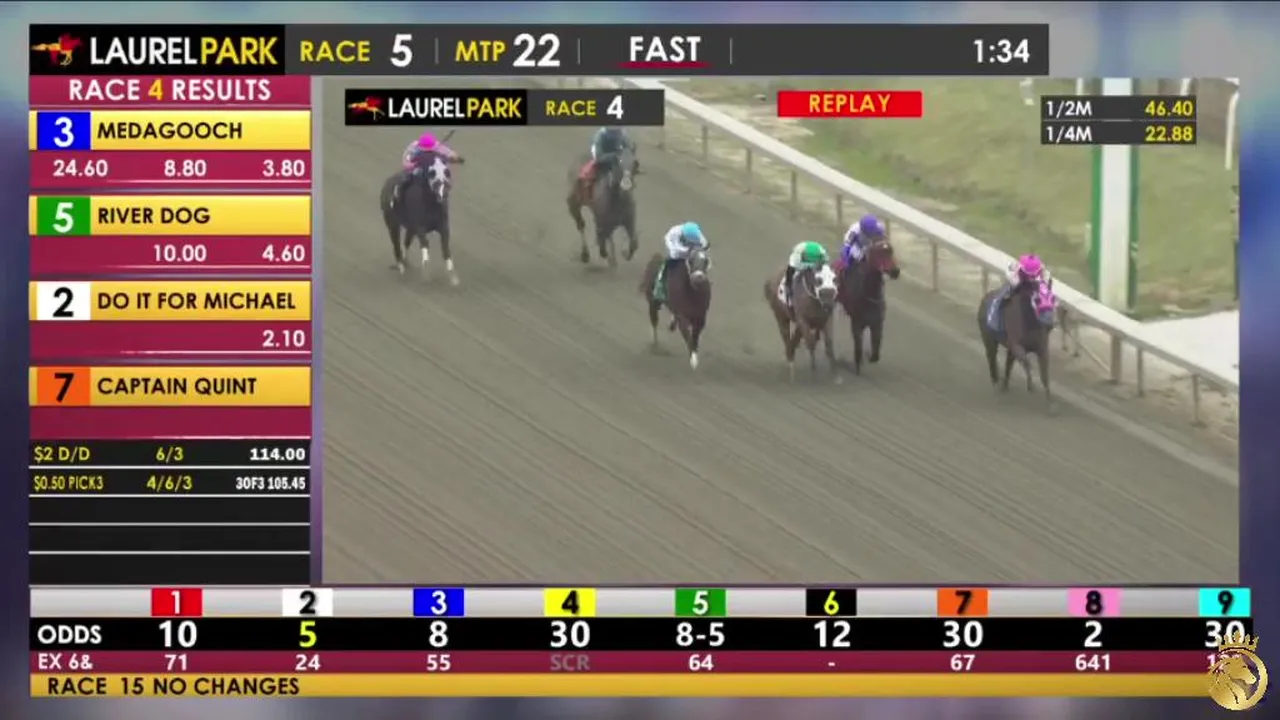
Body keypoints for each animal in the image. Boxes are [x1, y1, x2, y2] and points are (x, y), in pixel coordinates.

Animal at [380, 151, 460, 285]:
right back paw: (401, 266)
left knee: (406, 243)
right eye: (431, 172)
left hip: (410, 229)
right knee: (396, 245)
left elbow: (446, 250)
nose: (443, 194)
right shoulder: (420, 228)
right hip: (392, 224)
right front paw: (426, 271)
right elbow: (425, 245)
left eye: (446, 171)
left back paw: (405, 262)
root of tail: (387, 183)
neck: (431, 206)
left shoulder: (443, 228)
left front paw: (453, 277)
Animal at [836, 238, 901, 375]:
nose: (895, 271)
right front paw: (858, 363)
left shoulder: (877, 323)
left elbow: (876, 352)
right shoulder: (856, 323)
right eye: (880, 253)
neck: (869, 296)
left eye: (892, 251)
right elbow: (858, 346)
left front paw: (868, 356)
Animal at [978, 279, 1058, 413]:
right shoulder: (1016, 345)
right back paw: (996, 383)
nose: (1051, 323)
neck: (1030, 321)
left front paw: (1051, 405)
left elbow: (1045, 375)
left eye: (1053, 298)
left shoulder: (1042, 349)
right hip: (989, 339)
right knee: (992, 359)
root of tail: (984, 298)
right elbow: (1027, 363)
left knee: (1008, 364)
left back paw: (1004, 385)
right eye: (1037, 300)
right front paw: (1031, 386)